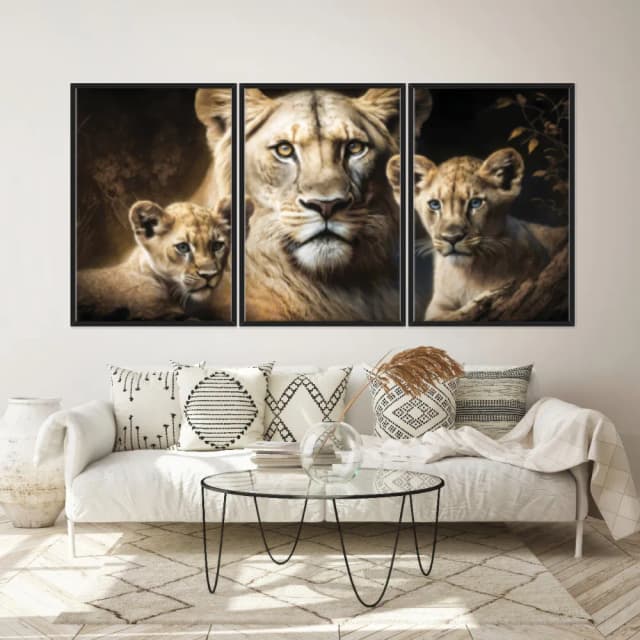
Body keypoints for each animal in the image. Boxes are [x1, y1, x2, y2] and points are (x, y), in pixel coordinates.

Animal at [387, 148, 567, 321]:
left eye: (475, 203)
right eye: (434, 204)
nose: (452, 238)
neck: (468, 272)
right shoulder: (438, 307)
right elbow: (451, 316)